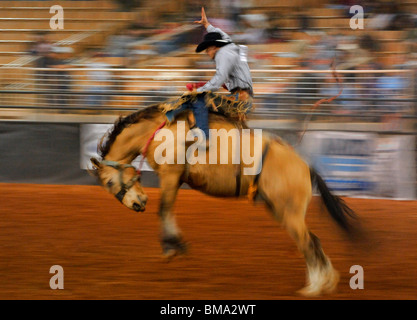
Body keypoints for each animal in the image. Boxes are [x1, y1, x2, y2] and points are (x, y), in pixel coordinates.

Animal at [90, 105, 354, 298]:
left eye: (110, 184)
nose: (137, 204)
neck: (162, 132)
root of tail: (305, 166)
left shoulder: (170, 175)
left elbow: (163, 209)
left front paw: (172, 247)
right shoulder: (174, 179)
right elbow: (168, 210)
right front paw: (176, 246)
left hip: (289, 212)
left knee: (307, 243)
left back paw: (315, 287)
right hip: (281, 210)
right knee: (313, 240)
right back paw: (325, 281)